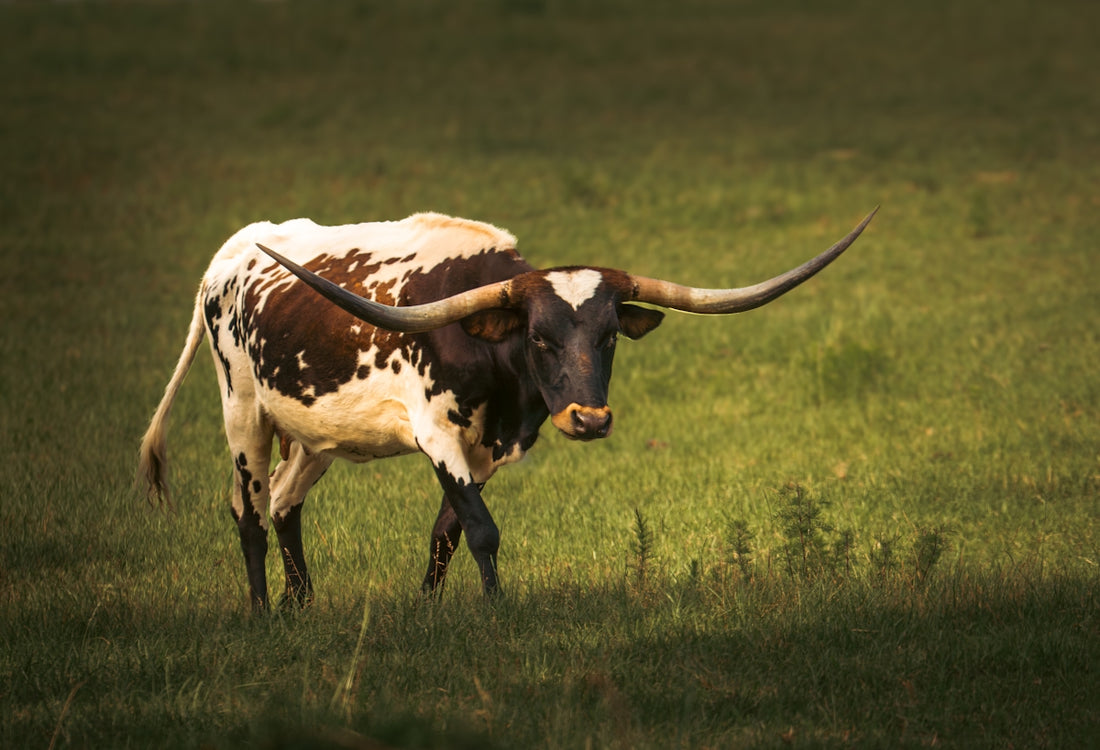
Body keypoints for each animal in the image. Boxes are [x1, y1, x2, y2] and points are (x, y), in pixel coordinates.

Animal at [138, 209, 875, 611]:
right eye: (539, 338)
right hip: (243, 412)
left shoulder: (489, 446)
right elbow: (482, 529)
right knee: (248, 510)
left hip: (314, 432)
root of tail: (233, 254)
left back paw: (302, 601)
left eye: (609, 336)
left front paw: (427, 608)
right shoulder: (436, 433)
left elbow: (448, 531)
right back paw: (264, 610)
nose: (589, 420)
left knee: (286, 502)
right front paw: (496, 611)